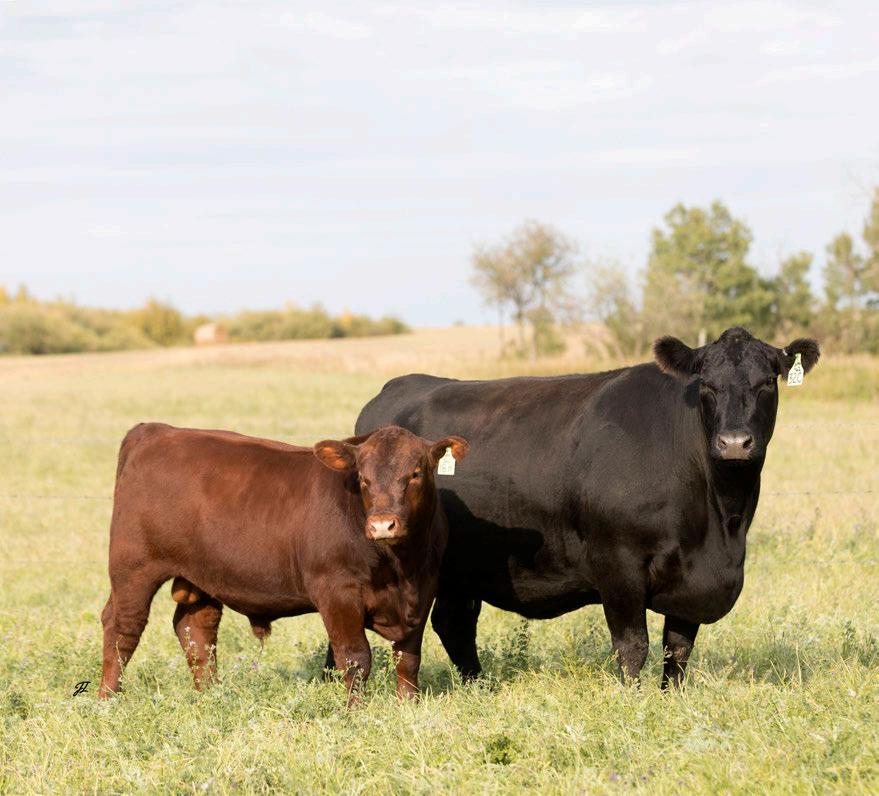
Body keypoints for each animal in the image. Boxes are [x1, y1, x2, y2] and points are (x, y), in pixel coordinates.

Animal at [98, 423, 469, 704]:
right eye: (363, 478)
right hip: (133, 568)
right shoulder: (337, 592)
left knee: (195, 629)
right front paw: (355, 712)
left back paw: (211, 695)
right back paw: (108, 699)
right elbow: (355, 658)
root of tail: (155, 431)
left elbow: (408, 658)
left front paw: (408, 705)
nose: (382, 524)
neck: (402, 568)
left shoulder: (425, 590)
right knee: (122, 628)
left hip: (200, 576)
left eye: (416, 473)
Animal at [347, 327, 820, 687]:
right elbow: (633, 648)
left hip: (460, 566)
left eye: (767, 383)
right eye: (706, 384)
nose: (735, 442)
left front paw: (671, 698)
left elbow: (678, 650)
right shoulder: (618, 563)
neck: (720, 523)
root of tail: (400, 386)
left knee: (455, 622)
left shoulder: (694, 580)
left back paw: (477, 686)